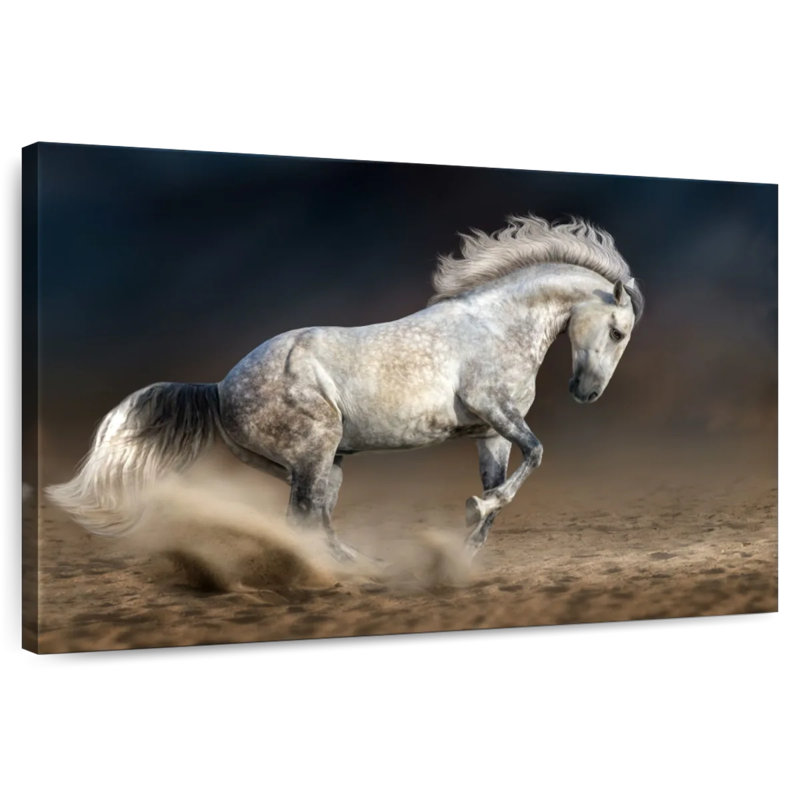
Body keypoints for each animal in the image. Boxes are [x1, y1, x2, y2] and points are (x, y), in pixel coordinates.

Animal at [47, 214, 644, 560]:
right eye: (618, 331)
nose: (586, 393)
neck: (496, 323)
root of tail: (219, 386)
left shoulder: (490, 433)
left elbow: (509, 481)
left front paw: (469, 545)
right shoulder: (492, 408)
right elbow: (537, 454)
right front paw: (475, 510)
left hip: (320, 464)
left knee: (314, 519)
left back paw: (358, 569)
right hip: (315, 452)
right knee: (302, 520)